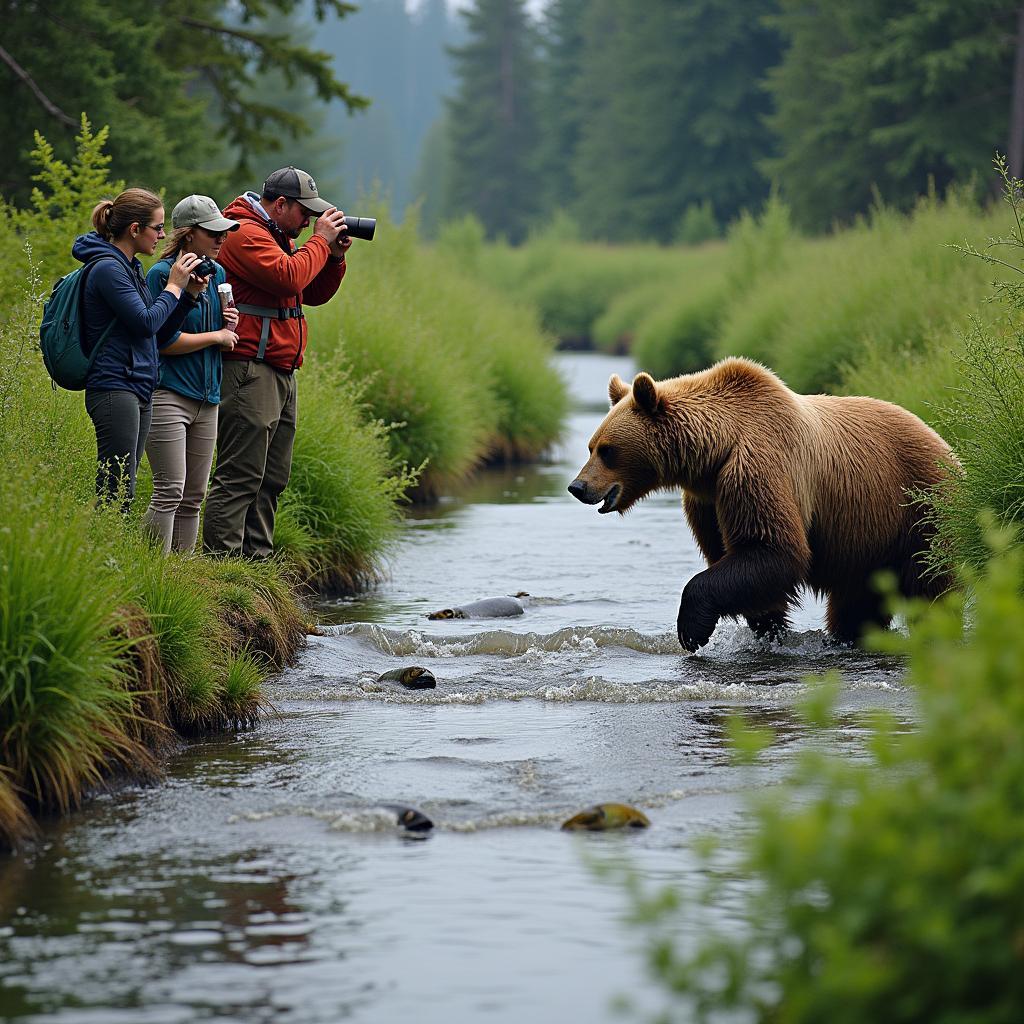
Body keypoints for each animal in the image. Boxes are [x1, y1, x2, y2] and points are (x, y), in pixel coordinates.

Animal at [573, 358, 954, 647]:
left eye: (607, 450)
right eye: (591, 446)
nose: (578, 486)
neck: (714, 453)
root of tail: (944, 444)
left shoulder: (758, 468)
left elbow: (773, 549)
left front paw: (692, 629)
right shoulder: (708, 501)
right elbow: (739, 561)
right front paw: (769, 628)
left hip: (919, 511)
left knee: (930, 586)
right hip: (867, 542)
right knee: (859, 601)